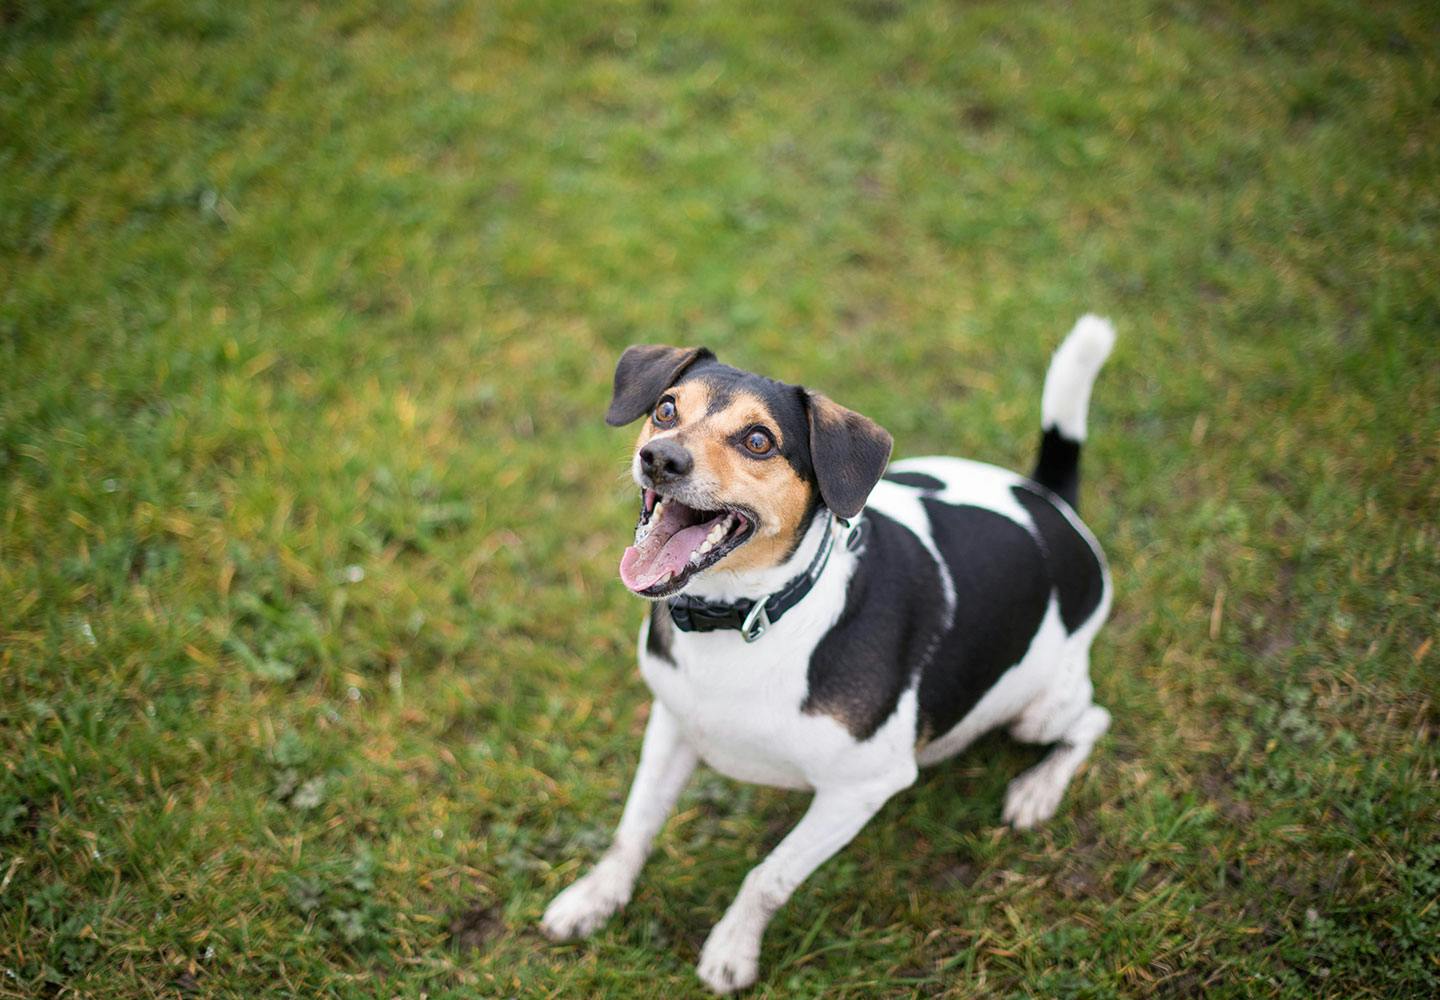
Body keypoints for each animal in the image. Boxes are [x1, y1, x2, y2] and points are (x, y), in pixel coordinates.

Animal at [541, 319, 1111, 997]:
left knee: (1092, 722)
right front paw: (594, 899)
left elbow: (769, 876)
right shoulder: (672, 725)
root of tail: (1049, 500)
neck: (747, 617)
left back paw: (1038, 790)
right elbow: (634, 828)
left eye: (759, 441)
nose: (660, 458)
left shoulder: (862, 787)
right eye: (666, 410)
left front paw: (732, 950)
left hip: (1039, 709)